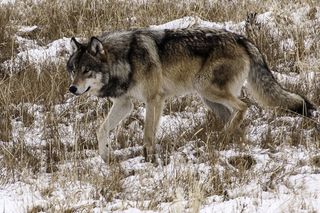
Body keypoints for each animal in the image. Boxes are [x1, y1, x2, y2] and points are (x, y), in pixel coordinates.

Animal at [65, 27, 316, 162]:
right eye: (73, 70)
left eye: (86, 70)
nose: (72, 89)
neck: (125, 59)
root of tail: (242, 39)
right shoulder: (125, 104)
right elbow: (101, 130)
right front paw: (105, 158)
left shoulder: (154, 100)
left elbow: (148, 135)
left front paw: (149, 159)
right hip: (209, 99)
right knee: (238, 118)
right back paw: (229, 141)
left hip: (205, 89)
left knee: (245, 105)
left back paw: (221, 138)